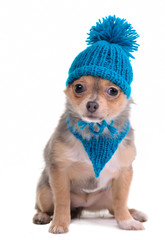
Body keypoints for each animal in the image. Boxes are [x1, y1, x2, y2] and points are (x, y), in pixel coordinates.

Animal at [32, 76, 147, 233]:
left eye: (113, 91)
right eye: (79, 87)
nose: (92, 105)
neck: (95, 133)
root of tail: (84, 205)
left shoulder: (124, 172)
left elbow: (121, 201)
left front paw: (127, 222)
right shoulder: (59, 171)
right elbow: (62, 201)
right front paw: (59, 224)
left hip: (108, 196)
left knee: (115, 209)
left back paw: (134, 214)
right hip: (45, 193)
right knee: (43, 207)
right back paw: (41, 216)